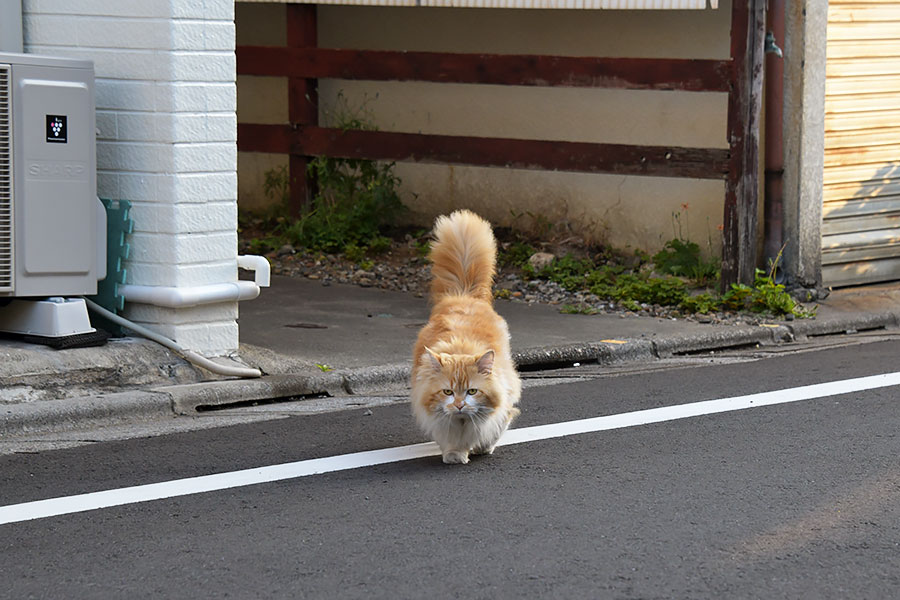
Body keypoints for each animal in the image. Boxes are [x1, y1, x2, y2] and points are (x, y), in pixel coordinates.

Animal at [410, 209, 520, 466]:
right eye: (447, 392)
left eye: (472, 392)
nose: (459, 405)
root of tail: (462, 294)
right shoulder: (441, 420)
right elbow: (451, 439)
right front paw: (455, 454)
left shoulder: (504, 407)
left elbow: (494, 427)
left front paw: (483, 447)